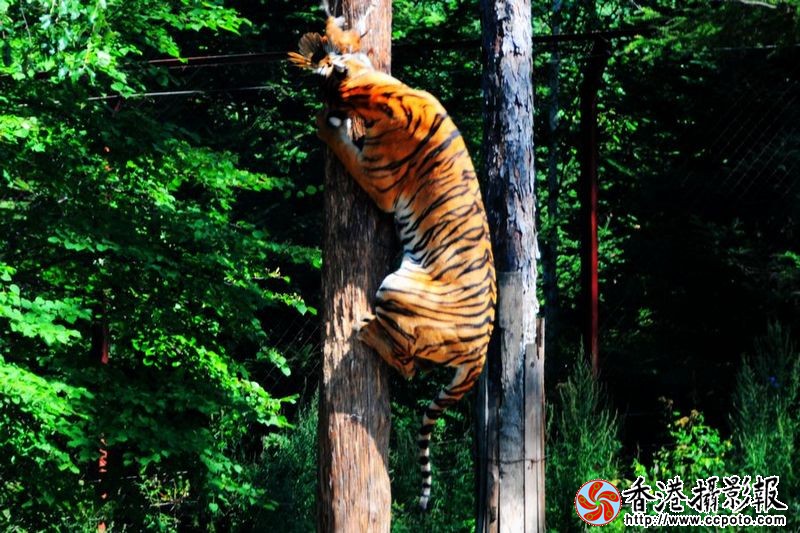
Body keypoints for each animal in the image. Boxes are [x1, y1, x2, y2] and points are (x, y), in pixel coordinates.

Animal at [290, 11, 496, 511]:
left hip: (397, 286)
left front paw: (324, 123)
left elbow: (345, 147)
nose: (321, 67)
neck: (382, 92)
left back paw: (365, 329)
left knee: (405, 363)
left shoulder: (378, 180)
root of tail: (481, 352)